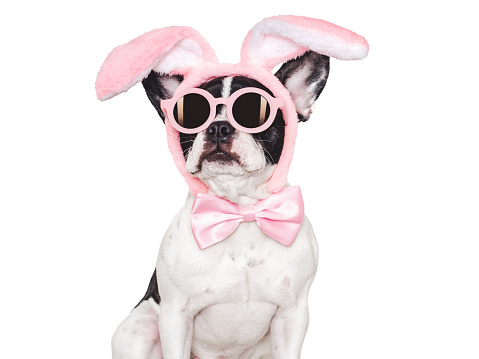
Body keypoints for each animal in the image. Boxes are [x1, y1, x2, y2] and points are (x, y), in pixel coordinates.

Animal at [95, 15, 370, 358]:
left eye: (256, 111)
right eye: (191, 113)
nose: (218, 126)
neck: (241, 210)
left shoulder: (292, 315)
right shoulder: (175, 315)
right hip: (140, 328)